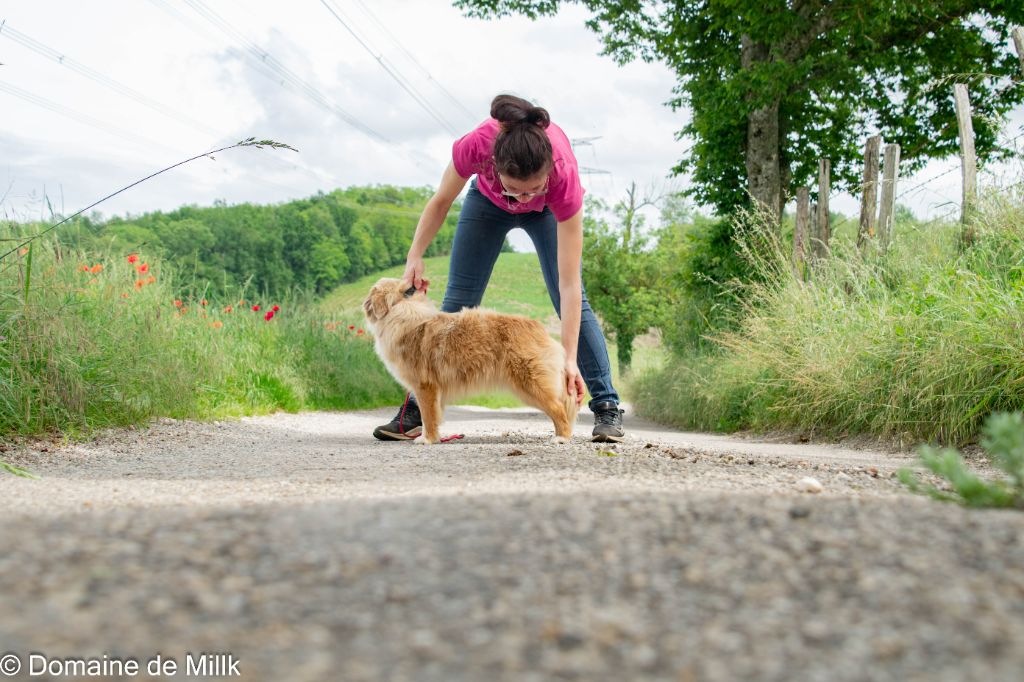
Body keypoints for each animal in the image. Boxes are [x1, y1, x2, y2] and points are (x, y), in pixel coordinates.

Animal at [364, 278, 581, 444]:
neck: (402, 313)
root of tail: (538, 328)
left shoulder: (424, 386)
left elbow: (428, 417)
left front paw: (428, 439)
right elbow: (433, 417)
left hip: (531, 384)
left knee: (559, 410)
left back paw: (562, 438)